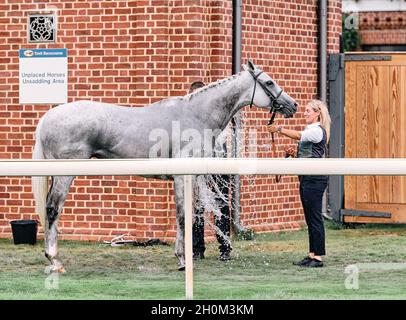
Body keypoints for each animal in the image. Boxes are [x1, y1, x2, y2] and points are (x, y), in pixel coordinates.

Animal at [31, 59, 296, 270]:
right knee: (53, 209)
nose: (293, 105)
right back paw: (54, 259)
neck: (196, 115)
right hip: (64, 174)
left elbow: (191, 215)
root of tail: (47, 117)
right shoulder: (181, 177)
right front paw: (181, 259)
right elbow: (182, 216)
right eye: (269, 82)